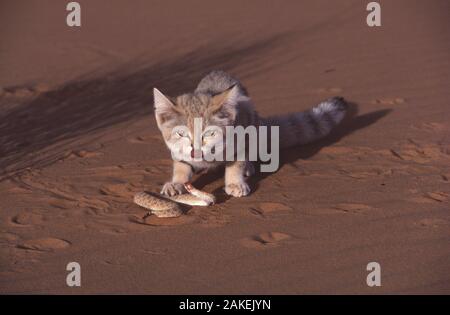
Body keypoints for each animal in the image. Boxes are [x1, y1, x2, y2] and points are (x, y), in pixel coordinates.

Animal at [153, 71, 346, 198]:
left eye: (210, 133)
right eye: (181, 134)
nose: (196, 151)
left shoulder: (242, 134)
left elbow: (236, 162)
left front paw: (234, 182)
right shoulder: (178, 151)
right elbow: (181, 166)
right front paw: (176, 183)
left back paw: (248, 168)